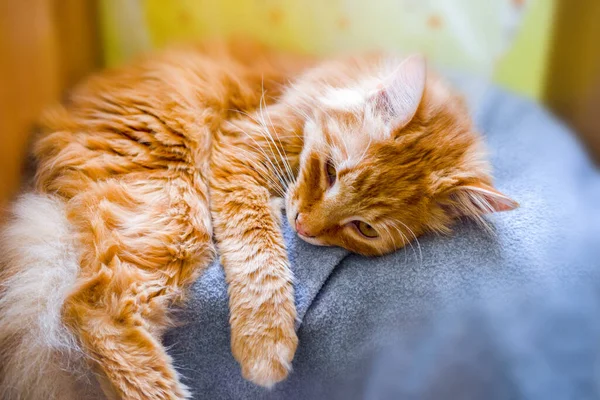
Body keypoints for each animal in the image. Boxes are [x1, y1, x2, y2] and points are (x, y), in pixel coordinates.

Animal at [0, 42, 516, 398]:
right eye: (330, 171)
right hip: (175, 199)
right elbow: (261, 257)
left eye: (365, 228)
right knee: (94, 306)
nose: (304, 226)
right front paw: (265, 345)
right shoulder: (241, 150)